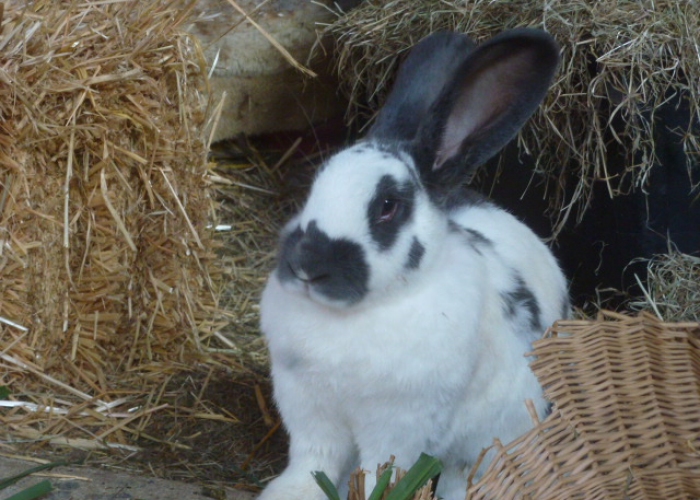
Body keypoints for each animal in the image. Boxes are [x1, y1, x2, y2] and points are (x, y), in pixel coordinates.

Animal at [258, 28, 568, 500]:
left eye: (388, 206)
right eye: (316, 184)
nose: (308, 264)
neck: (355, 316)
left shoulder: (401, 425)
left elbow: (379, 474)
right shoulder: (309, 409)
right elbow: (313, 464)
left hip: (492, 440)